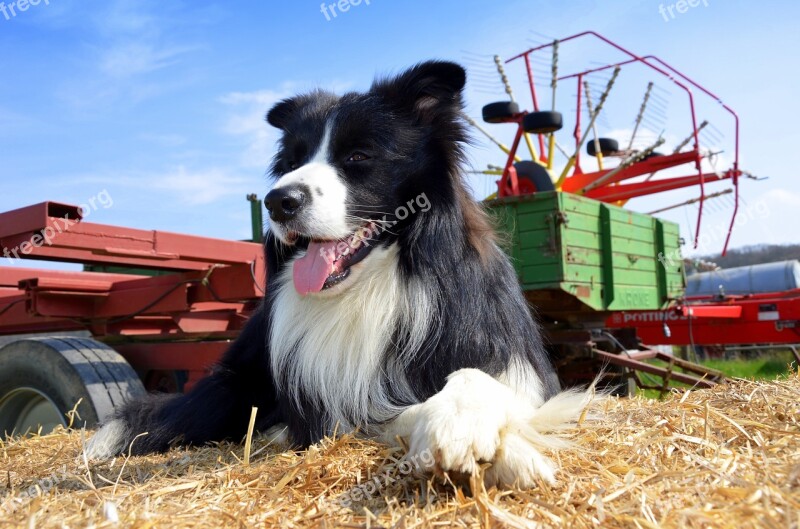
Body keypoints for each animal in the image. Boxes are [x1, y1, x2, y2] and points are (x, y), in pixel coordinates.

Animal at [87, 60, 592, 486]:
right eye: (291, 162)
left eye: (359, 156)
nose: (278, 201)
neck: (377, 287)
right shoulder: (334, 411)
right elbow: (392, 412)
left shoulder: (518, 367)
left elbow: (481, 380)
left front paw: (481, 434)